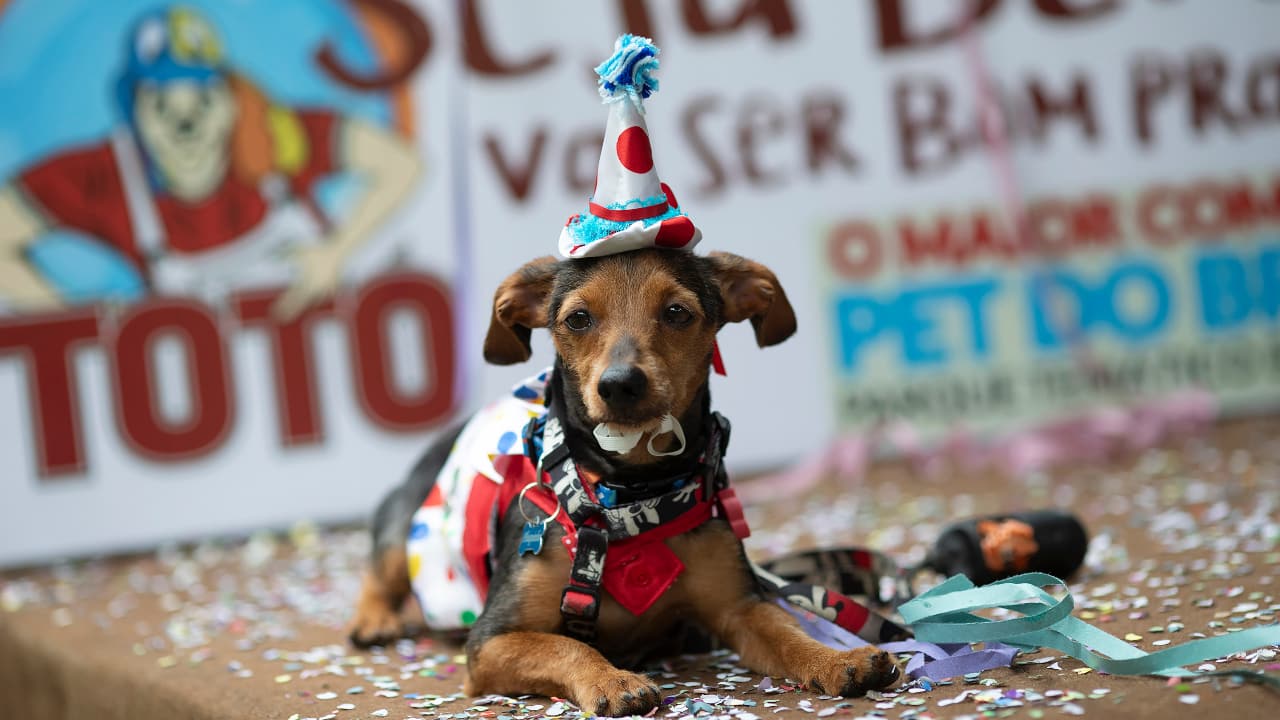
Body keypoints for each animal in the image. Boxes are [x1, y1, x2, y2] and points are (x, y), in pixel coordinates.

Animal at [345, 248, 896, 712]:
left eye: (677, 312)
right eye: (577, 318)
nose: (619, 385)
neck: (628, 494)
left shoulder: (740, 608)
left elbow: (788, 633)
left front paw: (837, 659)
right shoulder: (490, 640)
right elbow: (567, 647)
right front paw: (613, 680)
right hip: (403, 519)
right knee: (380, 569)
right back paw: (373, 621)